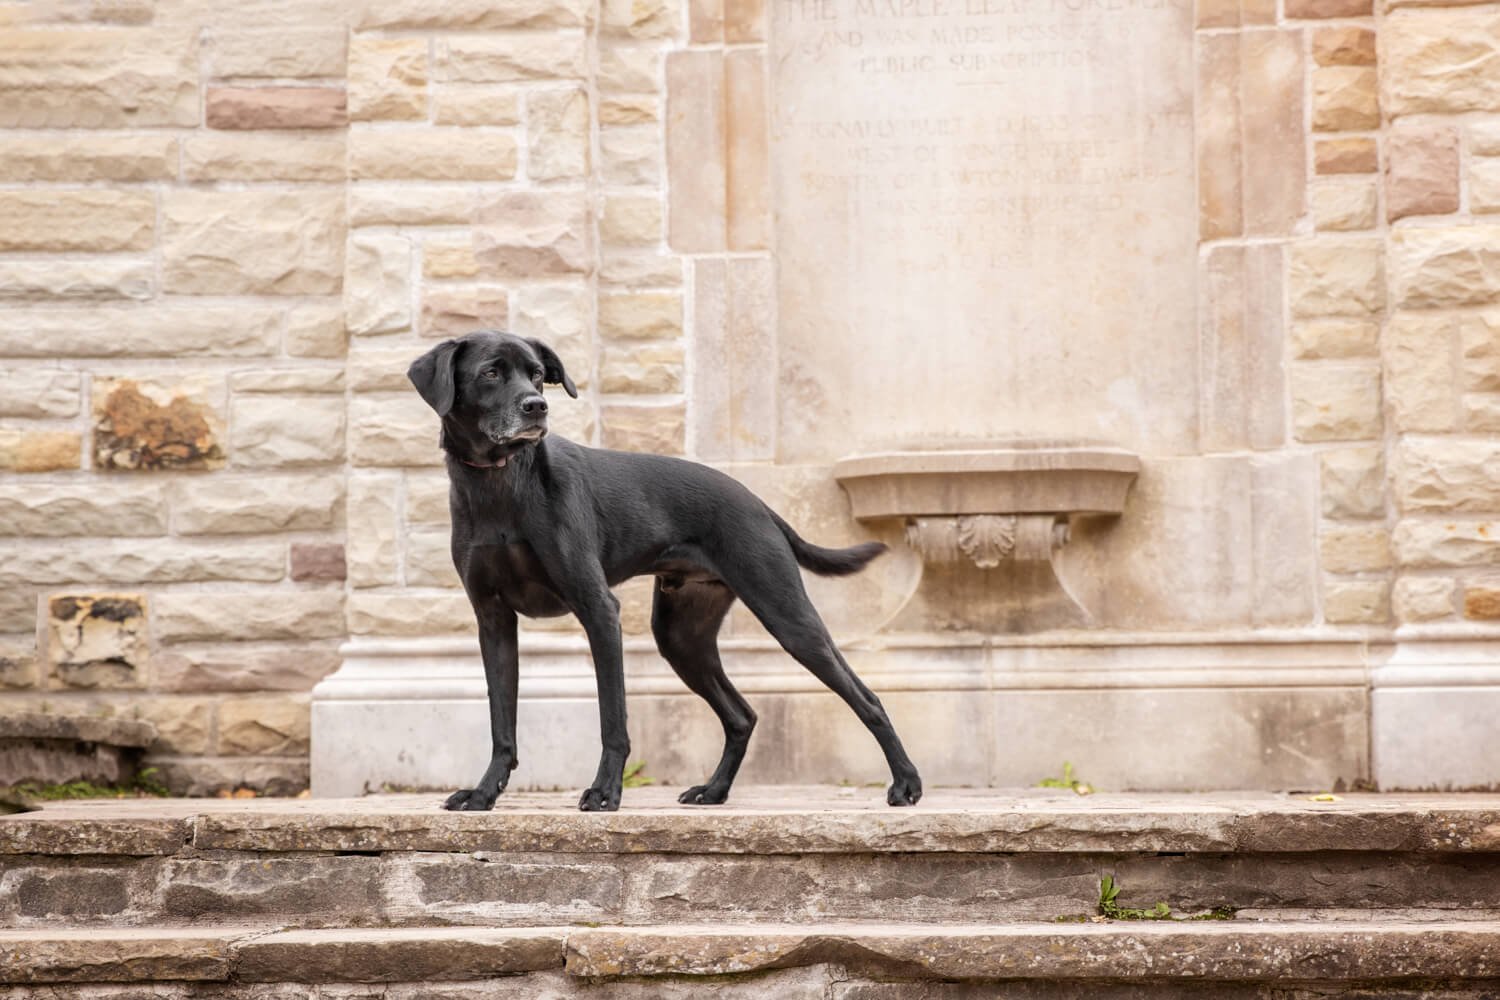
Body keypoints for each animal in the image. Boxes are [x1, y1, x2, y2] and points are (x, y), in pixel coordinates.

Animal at [414, 334, 924, 815]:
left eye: (538, 374)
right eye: (491, 372)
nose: (537, 406)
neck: (499, 484)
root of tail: (757, 503)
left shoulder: (599, 610)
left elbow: (613, 719)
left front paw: (605, 793)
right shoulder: (493, 621)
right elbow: (502, 724)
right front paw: (483, 795)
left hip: (788, 617)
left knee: (867, 699)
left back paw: (906, 784)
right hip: (682, 636)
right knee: (741, 716)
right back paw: (714, 791)